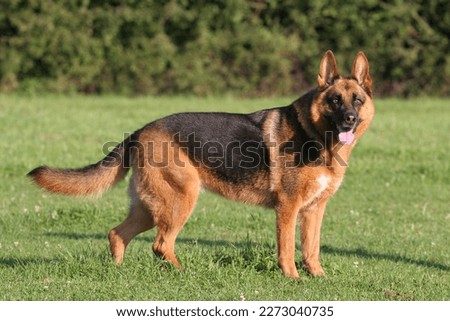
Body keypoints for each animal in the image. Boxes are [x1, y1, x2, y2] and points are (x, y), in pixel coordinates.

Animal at [27, 50, 372, 278]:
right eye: (335, 101)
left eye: (357, 100)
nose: (349, 119)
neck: (315, 133)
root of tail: (141, 130)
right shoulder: (287, 209)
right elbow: (287, 250)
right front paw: (293, 279)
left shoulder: (314, 210)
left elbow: (312, 249)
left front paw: (318, 278)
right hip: (180, 201)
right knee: (160, 244)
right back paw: (183, 273)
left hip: (150, 208)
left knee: (118, 234)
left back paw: (120, 272)